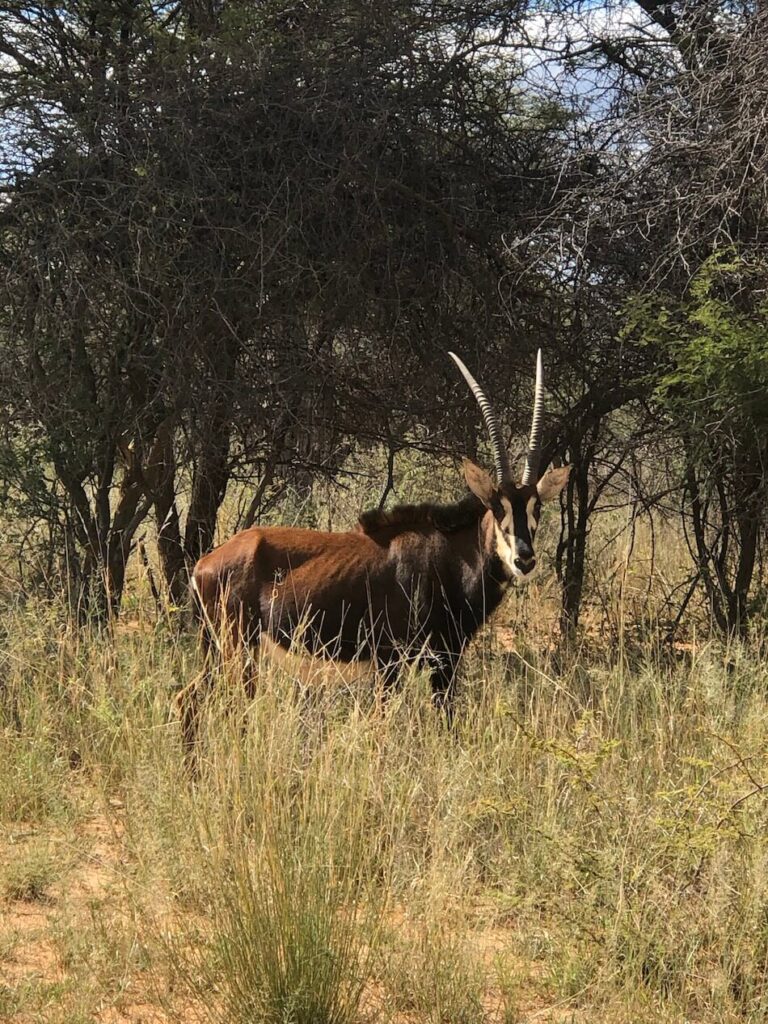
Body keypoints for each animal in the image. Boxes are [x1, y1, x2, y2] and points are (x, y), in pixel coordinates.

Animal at [183, 350, 573, 745]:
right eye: (497, 507)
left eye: (536, 507)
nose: (524, 559)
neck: (452, 556)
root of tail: (203, 565)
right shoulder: (391, 660)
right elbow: (386, 723)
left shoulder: (445, 660)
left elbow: (445, 720)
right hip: (237, 649)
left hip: (217, 649)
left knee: (189, 698)